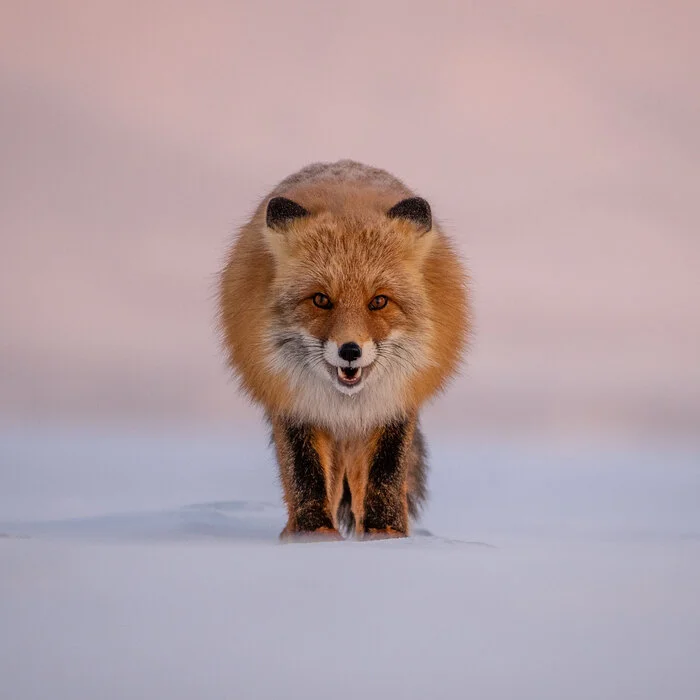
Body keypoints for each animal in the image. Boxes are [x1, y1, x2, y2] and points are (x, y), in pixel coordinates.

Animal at [219, 160, 470, 540]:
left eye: (379, 301)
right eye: (321, 299)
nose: (350, 350)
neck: (347, 406)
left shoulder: (394, 405)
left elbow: (386, 476)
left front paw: (386, 535)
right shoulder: (295, 405)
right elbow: (306, 477)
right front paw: (312, 537)